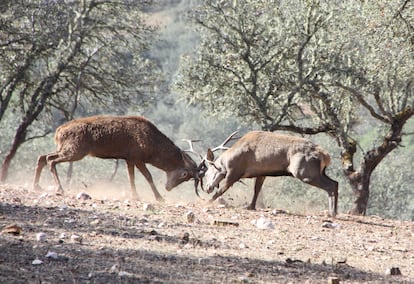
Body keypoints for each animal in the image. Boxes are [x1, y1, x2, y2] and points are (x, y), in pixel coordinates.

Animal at [32, 115, 201, 200]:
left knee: (42, 156)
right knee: (51, 160)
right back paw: (59, 188)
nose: (168, 187)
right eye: (185, 174)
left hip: (66, 148)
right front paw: (159, 197)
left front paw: (135, 195)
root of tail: (58, 131)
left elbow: (131, 177)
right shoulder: (137, 156)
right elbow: (148, 176)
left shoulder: (129, 158)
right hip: (75, 150)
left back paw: (37, 186)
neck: (152, 149)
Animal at [202, 132, 338, 216]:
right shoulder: (261, 173)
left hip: (305, 173)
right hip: (319, 172)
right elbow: (257, 190)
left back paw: (332, 213)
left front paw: (207, 202)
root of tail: (326, 156)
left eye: (207, 173)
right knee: (335, 183)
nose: (208, 188)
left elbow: (221, 190)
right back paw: (334, 211)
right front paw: (250, 206)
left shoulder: (234, 173)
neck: (227, 161)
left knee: (330, 186)